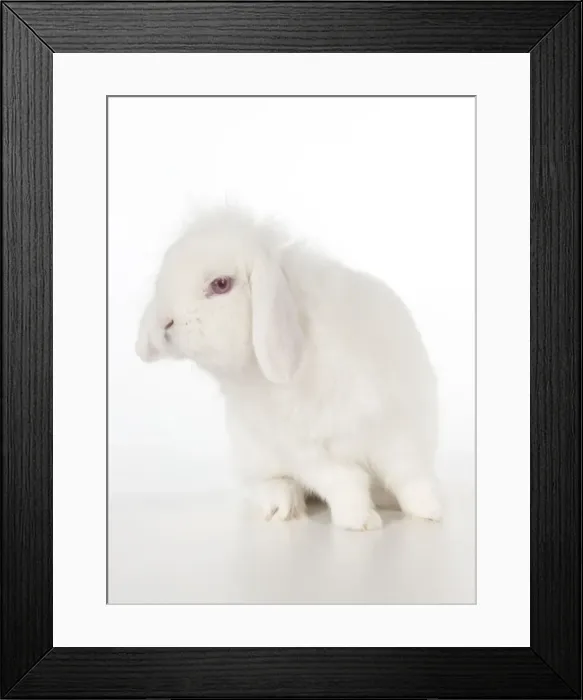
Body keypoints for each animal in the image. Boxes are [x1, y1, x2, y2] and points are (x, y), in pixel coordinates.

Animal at [136, 206, 442, 531]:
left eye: (221, 284)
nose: (164, 322)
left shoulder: (398, 423)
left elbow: (409, 475)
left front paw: (429, 512)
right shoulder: (302, 450)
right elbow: (345, 482)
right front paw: (360, 521)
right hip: (253, 456)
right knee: (262, 484)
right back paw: (282, 505)